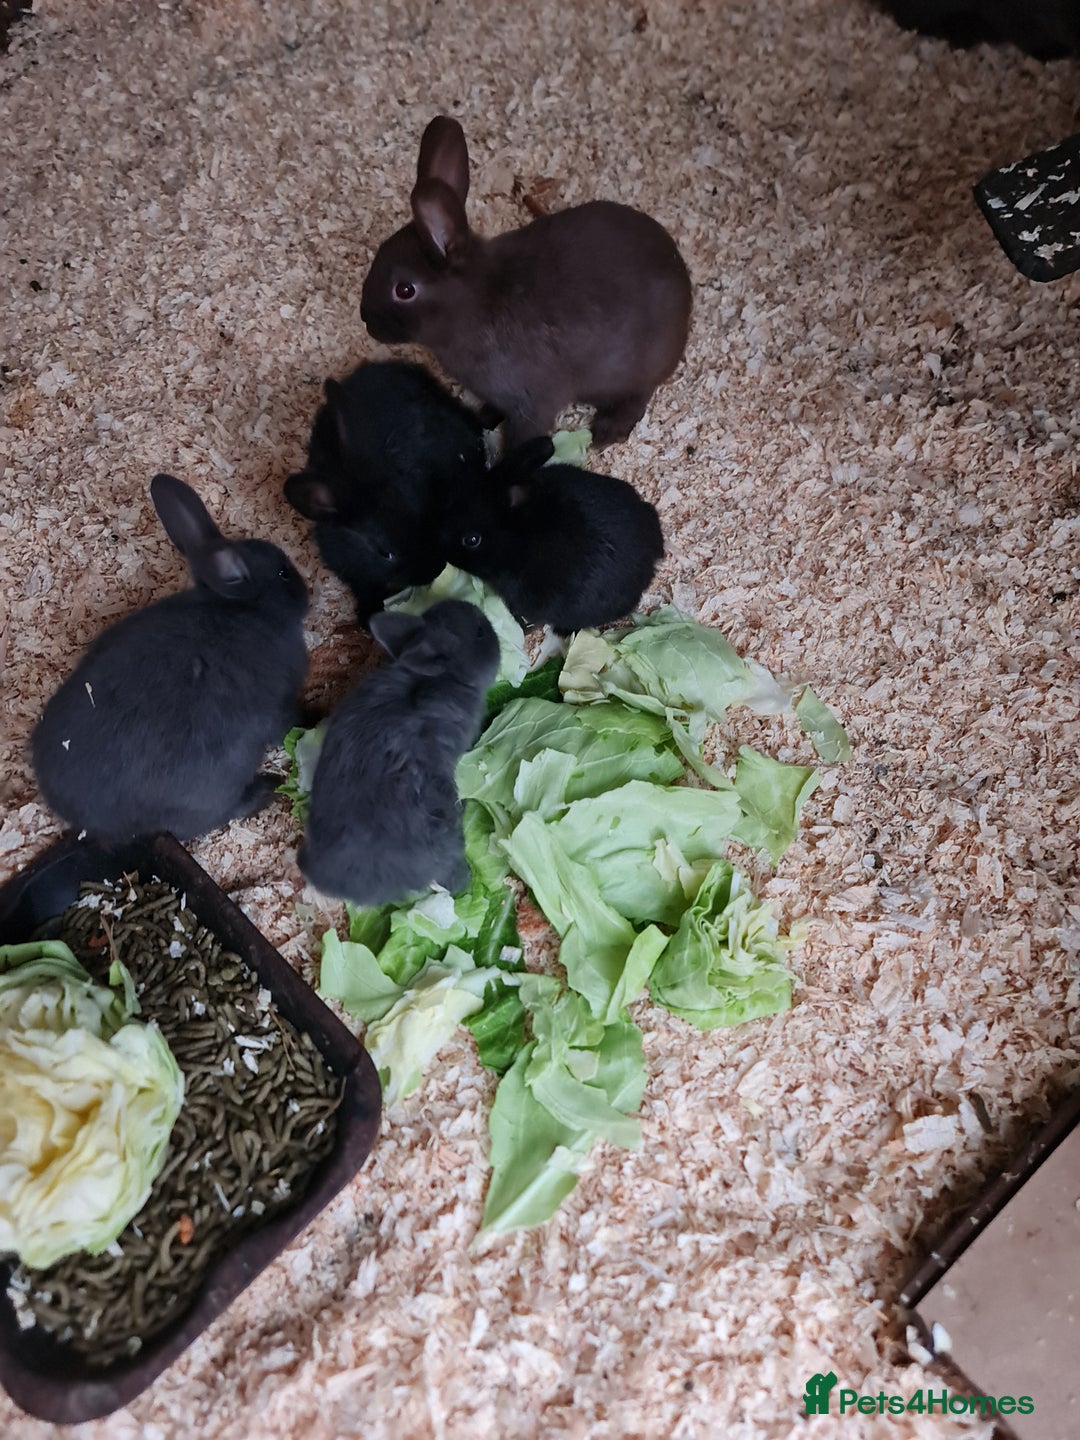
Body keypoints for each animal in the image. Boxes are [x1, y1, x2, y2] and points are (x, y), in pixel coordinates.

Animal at [32, 474, 309, 843]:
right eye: (283, 573)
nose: (307, 590)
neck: (245, 611)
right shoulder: (279, 706)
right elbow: (287, 725)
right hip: (213, 789)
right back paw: (265, 790)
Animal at [359, 115, 693, 450]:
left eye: (404, 290)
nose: (365, 319)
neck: (478, 302)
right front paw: (484, 417)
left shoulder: (531, 403)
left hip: (635, 369)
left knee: (637, 397)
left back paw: (607, 432)